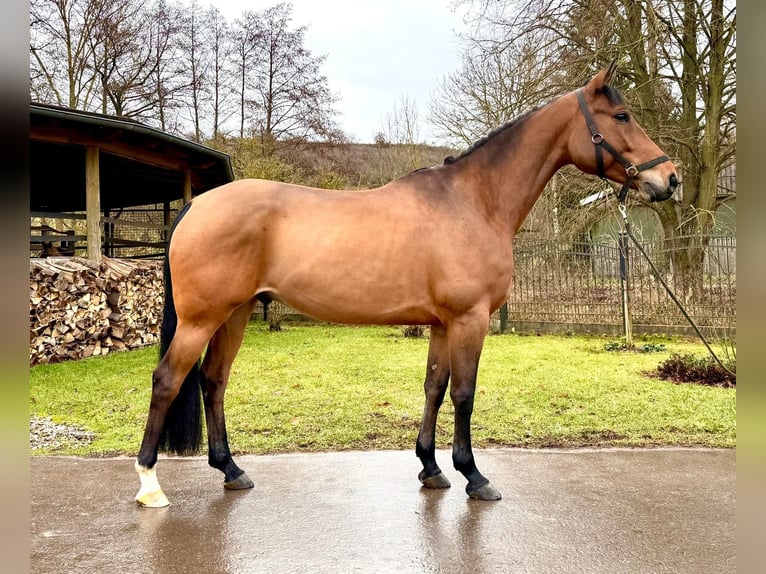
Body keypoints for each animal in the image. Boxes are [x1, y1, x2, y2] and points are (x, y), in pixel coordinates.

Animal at [136, 64, 680, 508]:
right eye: (623, 115)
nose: (670, 179)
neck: (474, 201)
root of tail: (197, 205)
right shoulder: (469, 320)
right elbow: (464, 393)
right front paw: (474, 476)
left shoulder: (441, 323)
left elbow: (434, 387)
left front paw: (431, 468)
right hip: (203, 318)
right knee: (167, 380)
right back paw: (149, 485)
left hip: (236, 313)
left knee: (213, 380)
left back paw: (231, 470)